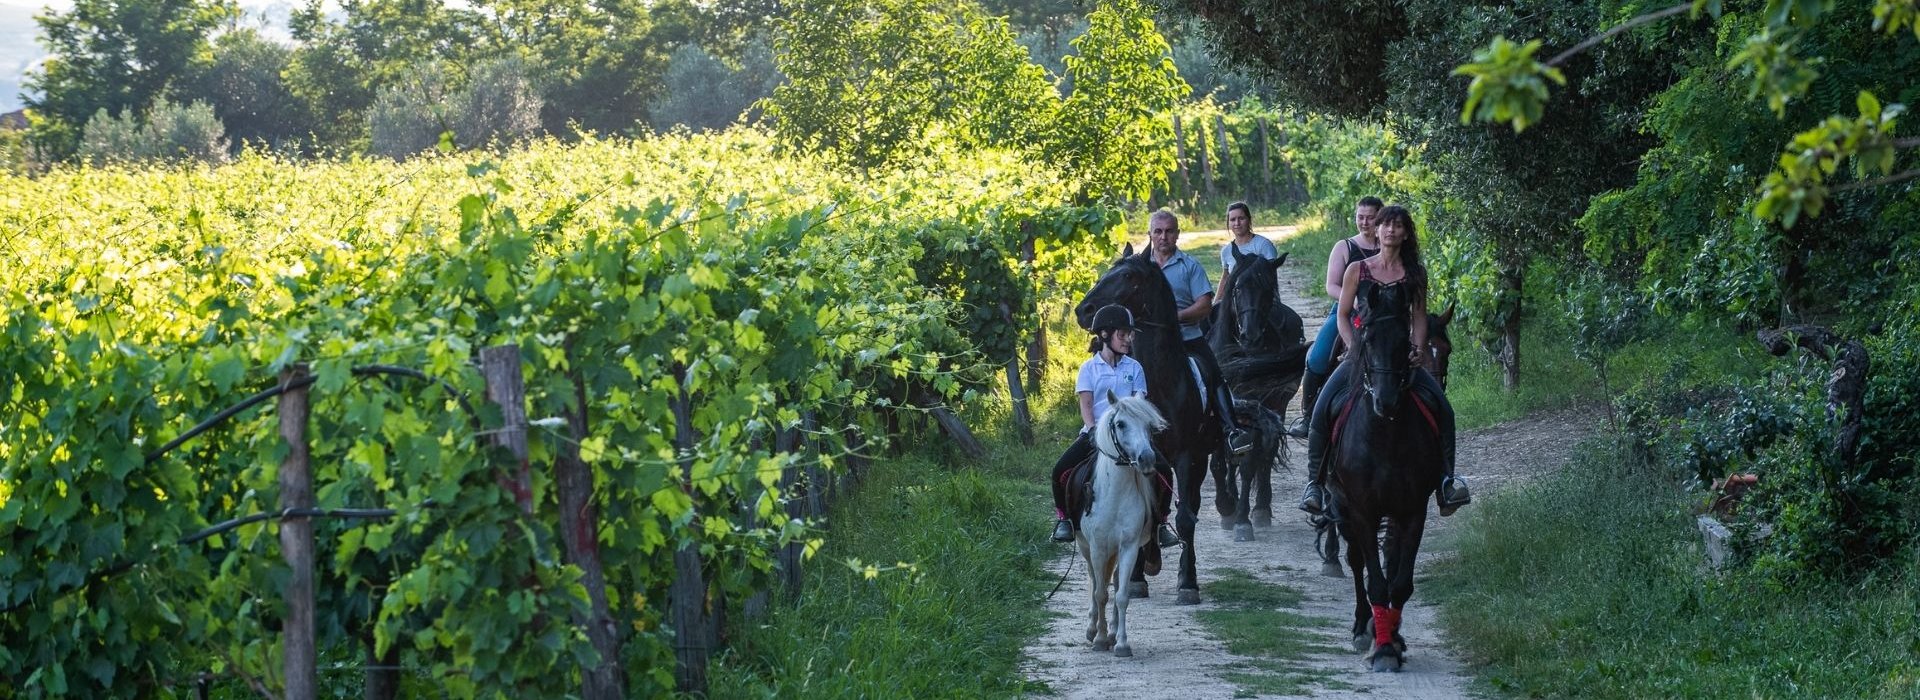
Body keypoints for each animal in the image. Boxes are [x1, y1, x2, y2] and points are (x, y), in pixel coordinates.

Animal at [1075, 245, 1221, 606]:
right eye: (1108, 269)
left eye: (1128, 275)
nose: (1084, 311)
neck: (1162, 384)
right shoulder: (1144, 456)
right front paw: (1138, 577)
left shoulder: (1185, 456)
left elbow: (1185, 517)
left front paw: (1188, 584)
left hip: (1198, 460)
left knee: (1188, 507)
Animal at [1082, 389, 1167, 655]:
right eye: (1120, 424)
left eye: (1150, 426)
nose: (1147, 458)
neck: (1114, 494)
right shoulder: (1097, 547)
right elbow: (1100, 593)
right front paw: (1099, 639)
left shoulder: (1129, 546)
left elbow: (1121, 595)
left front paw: (1120, 642)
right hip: (1085, 546)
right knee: (1093, 581)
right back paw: (1092, 630)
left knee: (1116, 581)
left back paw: (1111, 631)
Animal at [1205, 245, 1313, 540]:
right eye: (1238, 287)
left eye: (1267, 290)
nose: (1250, 335)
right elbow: (1220, 461)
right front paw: (1225, 507)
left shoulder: (1258, 409)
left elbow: (1249, 463)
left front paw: (1242, 519)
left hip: (1276, 407)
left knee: (1265, 452)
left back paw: (1261, 508)